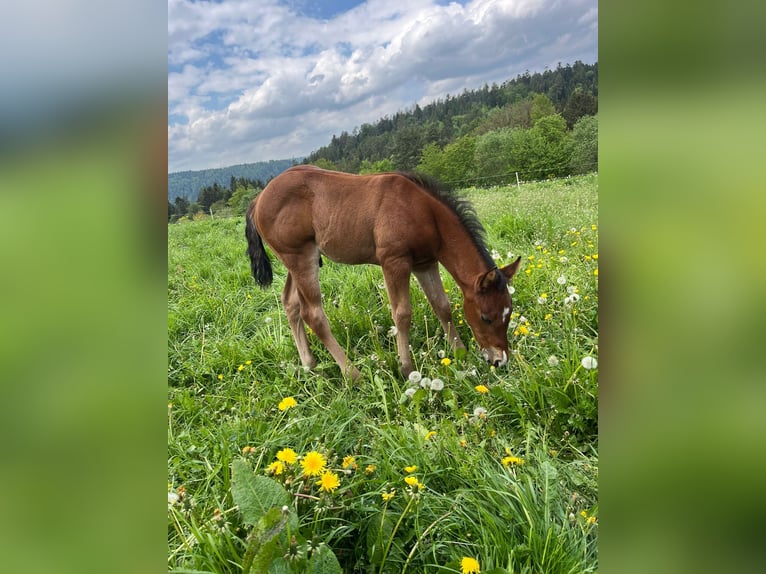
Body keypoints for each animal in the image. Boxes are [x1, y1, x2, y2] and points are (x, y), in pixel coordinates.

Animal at [245, 165, 521, 380]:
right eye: (486, 317)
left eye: (509, 312)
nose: (499, 360)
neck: (425, 213)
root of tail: (258, 200)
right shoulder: (394, 262)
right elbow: (402, 314)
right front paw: (407, 368)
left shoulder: (425, 263)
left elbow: (441, 305)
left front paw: (459, 352)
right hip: (301, 257)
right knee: (312, 313)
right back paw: (352, 374)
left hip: (295, 260)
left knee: (290, 303)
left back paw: (310, 365)